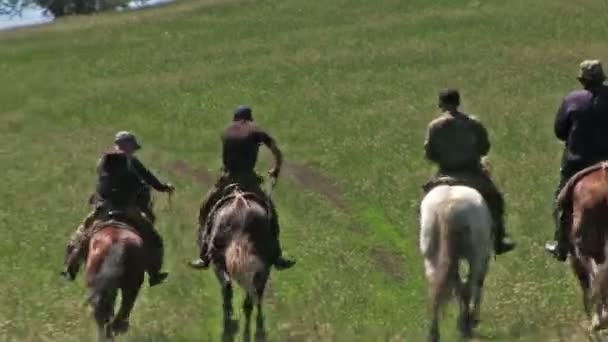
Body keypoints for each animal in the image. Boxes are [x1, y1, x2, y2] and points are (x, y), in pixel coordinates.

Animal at [422, 186, 494, 340]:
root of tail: (449, 206)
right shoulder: (483, 258)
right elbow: (475, 286)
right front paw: (471, 320)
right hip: (475, 257)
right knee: (469, 286)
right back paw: (466, 324)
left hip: (431, 257)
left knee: (436, 289)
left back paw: (434, 333)